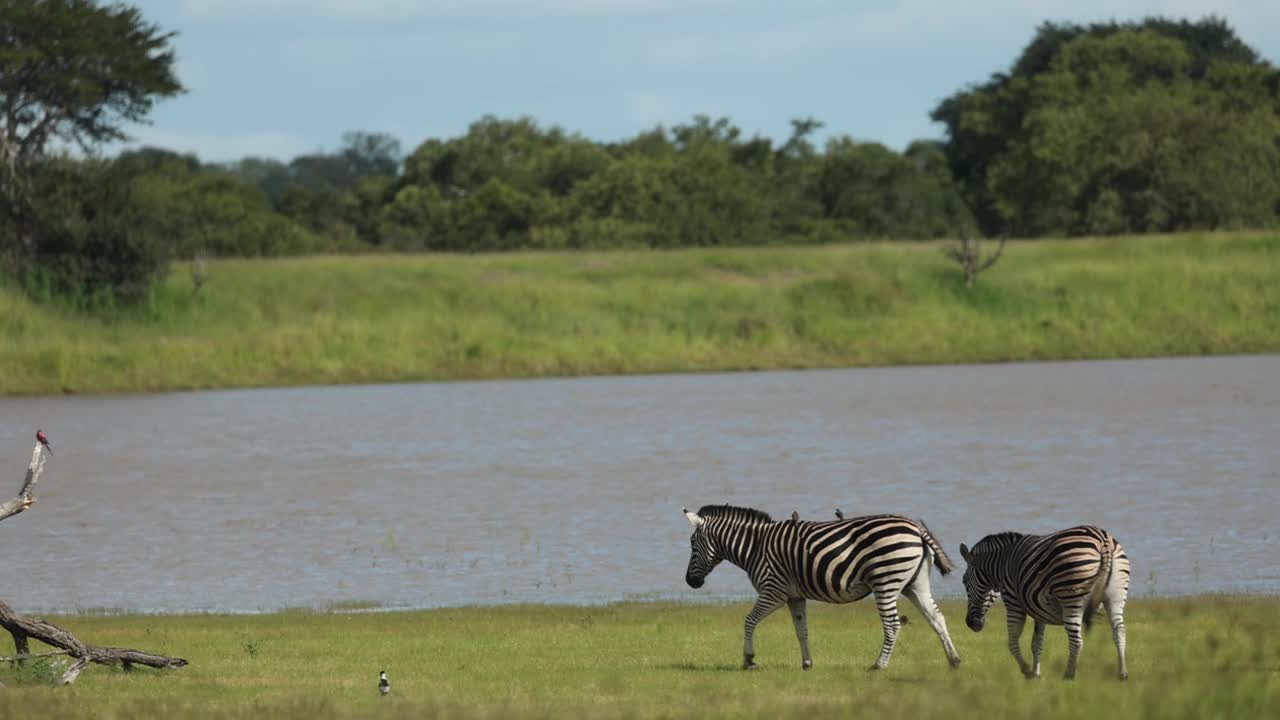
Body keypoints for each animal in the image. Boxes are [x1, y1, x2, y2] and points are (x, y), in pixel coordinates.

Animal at [682, 504, 961, 671]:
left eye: (692, 544)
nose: (689, 582)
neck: (756, 547)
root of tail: (916, 527)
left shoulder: (773, 591)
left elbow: (749, 621)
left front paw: (749, 660)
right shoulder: (795, 596)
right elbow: (801, 630)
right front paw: (807, 663)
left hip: (885, 582)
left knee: (893, 624)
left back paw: (879, 665)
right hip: (915, 584)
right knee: (937, 617)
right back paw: (954, 660)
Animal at [958, 525, 1131, 680]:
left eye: (964, 581)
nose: (970, 623)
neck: (1002, 563)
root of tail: (1103, 540)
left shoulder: (1014, 603)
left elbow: (1012, 643)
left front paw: (1027, 671)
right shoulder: (1039, 611)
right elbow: (1036, 644)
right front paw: (1036, 674)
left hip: (1071, 598)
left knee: (1077, 641)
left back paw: (1069, 676)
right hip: (1115, 597)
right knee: (1119, 632)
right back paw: (1122, 674)